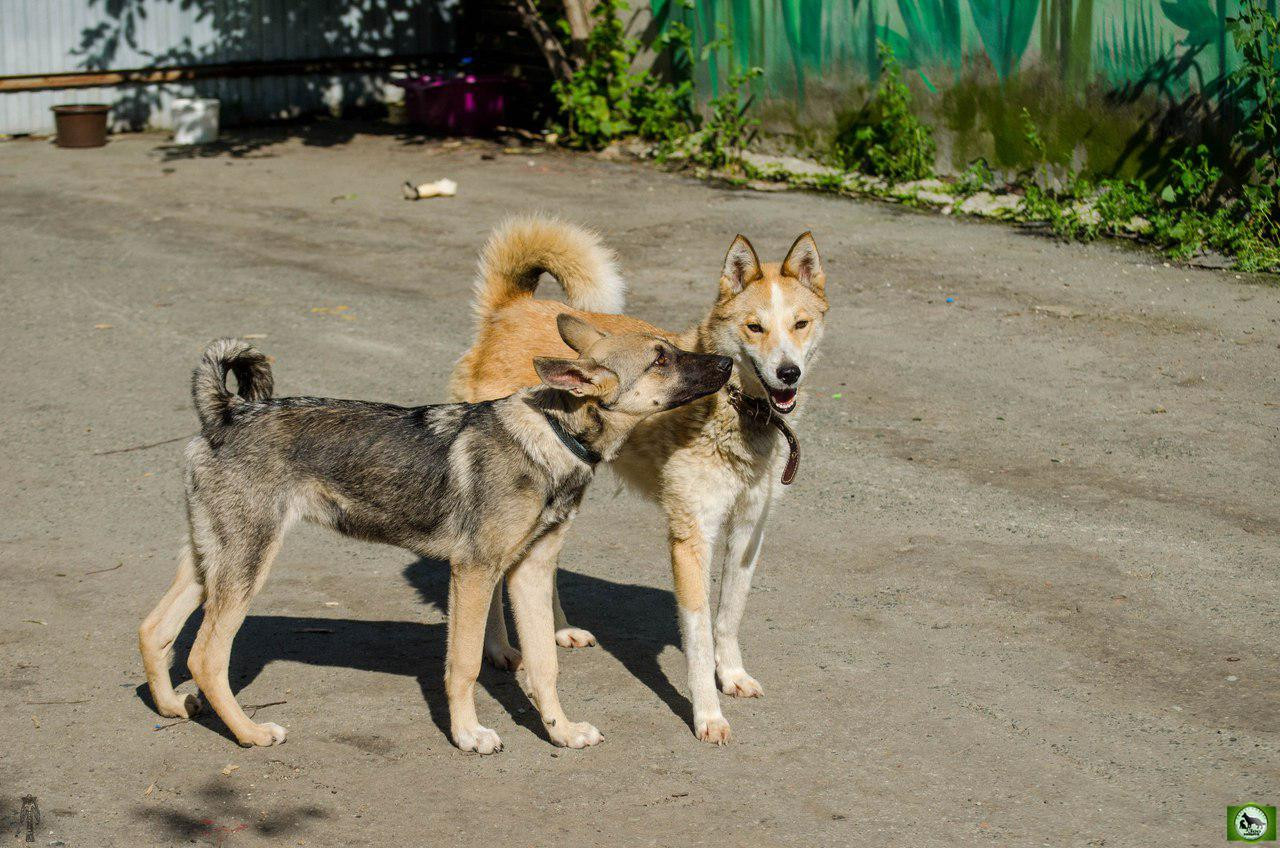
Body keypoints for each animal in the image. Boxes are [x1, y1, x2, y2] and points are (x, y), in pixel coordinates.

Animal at [140, 315, 732, 753]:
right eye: (661, 358)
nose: (728, 361)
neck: (554, 433)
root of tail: (225, 414)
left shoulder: (529, 574)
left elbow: (545, 664)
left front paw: (560, 732)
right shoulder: (474, 572)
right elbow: (465, 664)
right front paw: (468, 734)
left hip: (210, 561)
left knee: (155, 629)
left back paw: (172, 707)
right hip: (246, 564)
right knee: (205, 656)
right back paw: (249, 733)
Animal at [450, 219, 829, 742]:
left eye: (800, 324)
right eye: (755, 327)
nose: (787, 373)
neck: (737, 409)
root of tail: (513, 307)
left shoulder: (749, 530)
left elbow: (728, 616)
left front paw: (731, 675)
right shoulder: (691, 536)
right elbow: (699, 637)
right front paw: (707, 715)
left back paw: (558, 630)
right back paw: (499, 649)